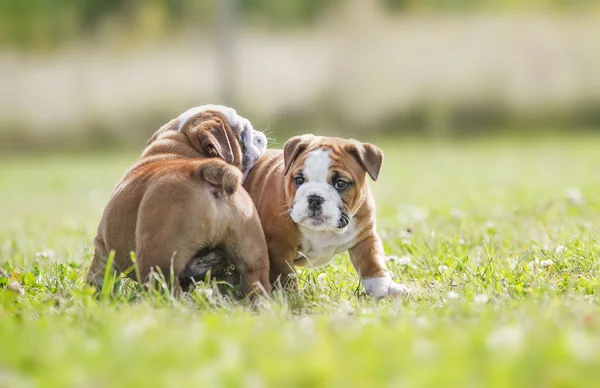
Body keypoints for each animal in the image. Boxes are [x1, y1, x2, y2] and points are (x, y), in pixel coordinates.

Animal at [86, 106, 270, 298]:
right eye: (242, 133)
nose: (259, 136)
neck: (182, 143)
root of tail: (203, 170)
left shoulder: (102, 247)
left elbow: (99, 277)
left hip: (157, 260)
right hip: (252, 258)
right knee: (256, 282)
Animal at [243, 135, 408, 298]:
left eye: (340, 183)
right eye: (299, 180)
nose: (315, 198)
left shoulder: (365, 238)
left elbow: (373, 263)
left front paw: (385, 289)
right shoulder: (278, 247)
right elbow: (285, 275)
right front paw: (290, 297)